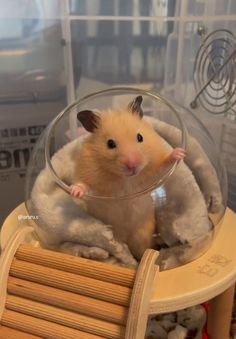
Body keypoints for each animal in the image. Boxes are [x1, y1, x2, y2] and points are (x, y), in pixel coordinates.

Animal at [69, 95, 185, 260]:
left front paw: (179, 153)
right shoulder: (89, 173)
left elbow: (164, 164)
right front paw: (74, 191)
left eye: (140, 137)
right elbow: (84, 184)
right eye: (110, 143)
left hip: (143, 235)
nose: (132, 165)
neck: (126, 179)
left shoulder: (152, 176)